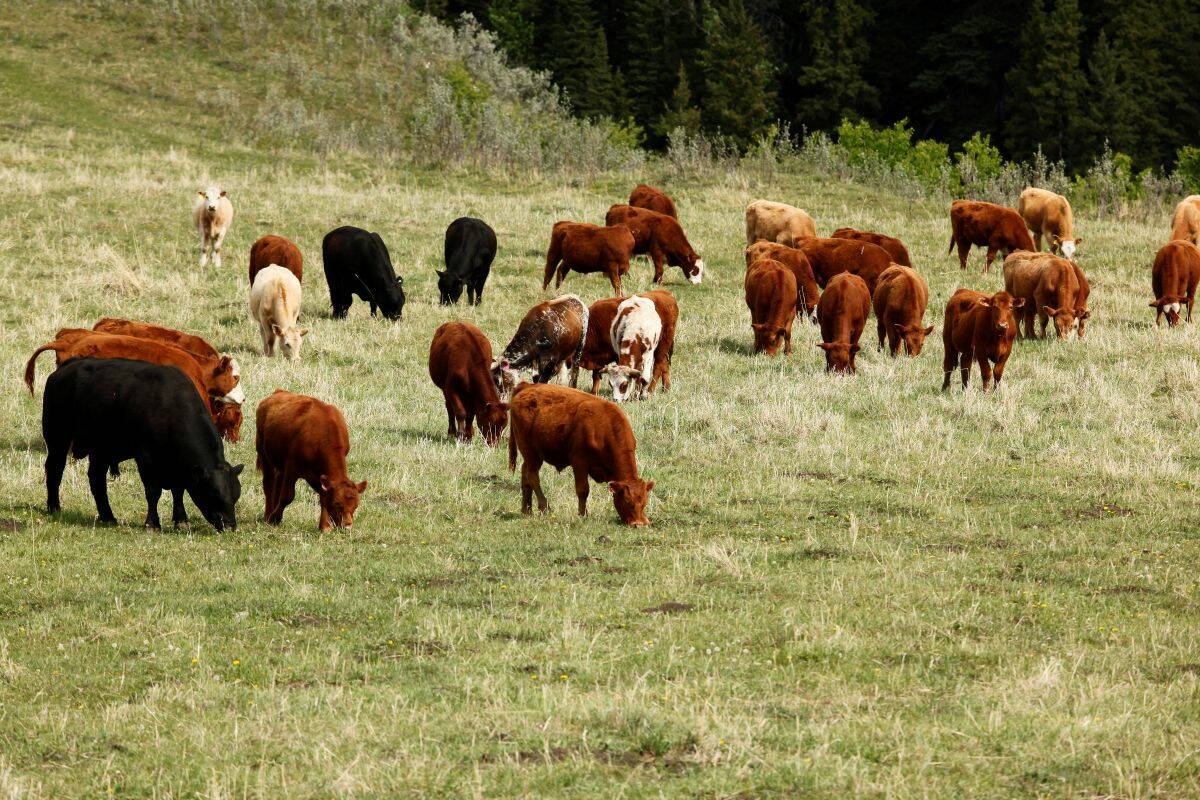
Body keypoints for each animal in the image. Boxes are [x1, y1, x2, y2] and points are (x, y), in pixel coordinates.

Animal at [42, 358, 242, 530]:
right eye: (214, 493)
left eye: (236, 495)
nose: (230, 525)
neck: (170, 407)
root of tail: (67, 367)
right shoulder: (145, 458)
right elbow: (153, 492)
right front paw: (152, 524)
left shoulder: (179, 467)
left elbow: (178, 491)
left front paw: (181, 520)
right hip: (57, 439)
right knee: (54, 469)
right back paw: (54, 507)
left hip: (101, 450)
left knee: (96, 478)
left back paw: (108, 516)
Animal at [255, 390, 367, 532]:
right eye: (337, 503)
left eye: (356, 505)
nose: (347, 526)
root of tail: (278, 392)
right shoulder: (292, 468)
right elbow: (287, 496)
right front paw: (275, 518)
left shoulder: (320, 476)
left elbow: (323, 497)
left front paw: (324, 526)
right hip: (264, 453)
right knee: (269, 484)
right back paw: (268, 515)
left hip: (280, 466)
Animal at [507, 382, 653, 525]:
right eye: (627, 501)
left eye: (644, 502)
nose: (638, 523)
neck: (604, 427)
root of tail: (527, 386)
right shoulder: (579, 462)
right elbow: (583, 490)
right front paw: (583, 514)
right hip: (531, 453)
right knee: (533, 476)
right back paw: (544, 507)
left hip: (530, 455)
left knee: (525, 474)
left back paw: (526, 510)